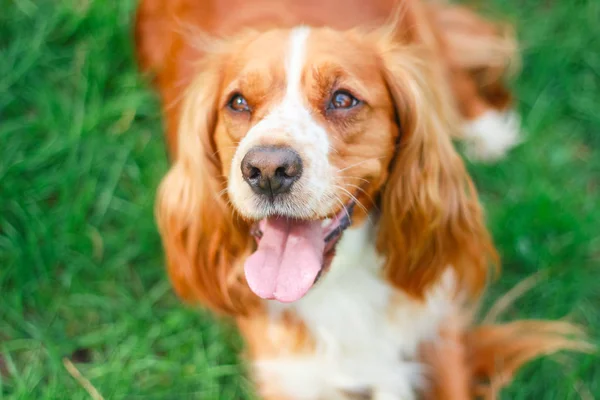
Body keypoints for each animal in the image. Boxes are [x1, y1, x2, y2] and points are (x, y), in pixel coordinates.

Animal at [134, 1, 588, 398]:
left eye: (342, 99)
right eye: (238, 102)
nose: (267, 171)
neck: (340, 280)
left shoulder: (438, 334)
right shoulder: (289, 374)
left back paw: (487, 128)